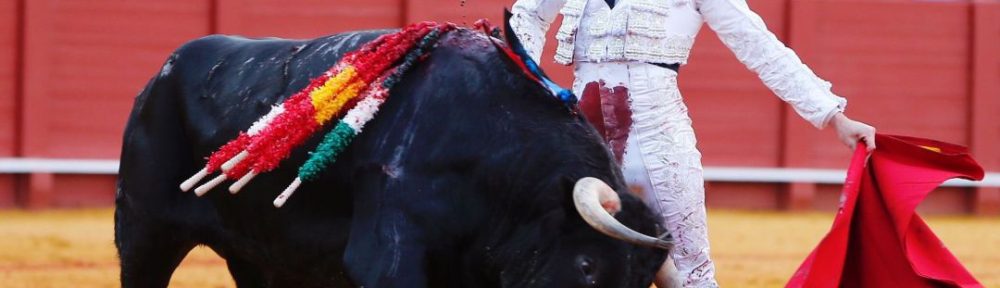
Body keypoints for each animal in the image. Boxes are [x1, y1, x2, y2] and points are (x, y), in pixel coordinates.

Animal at [115, 27, 664, 288]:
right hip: (143, 233)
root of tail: (158, 76)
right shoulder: (386, 257)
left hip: (257, 255)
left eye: (641, 280)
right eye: (588, 265)